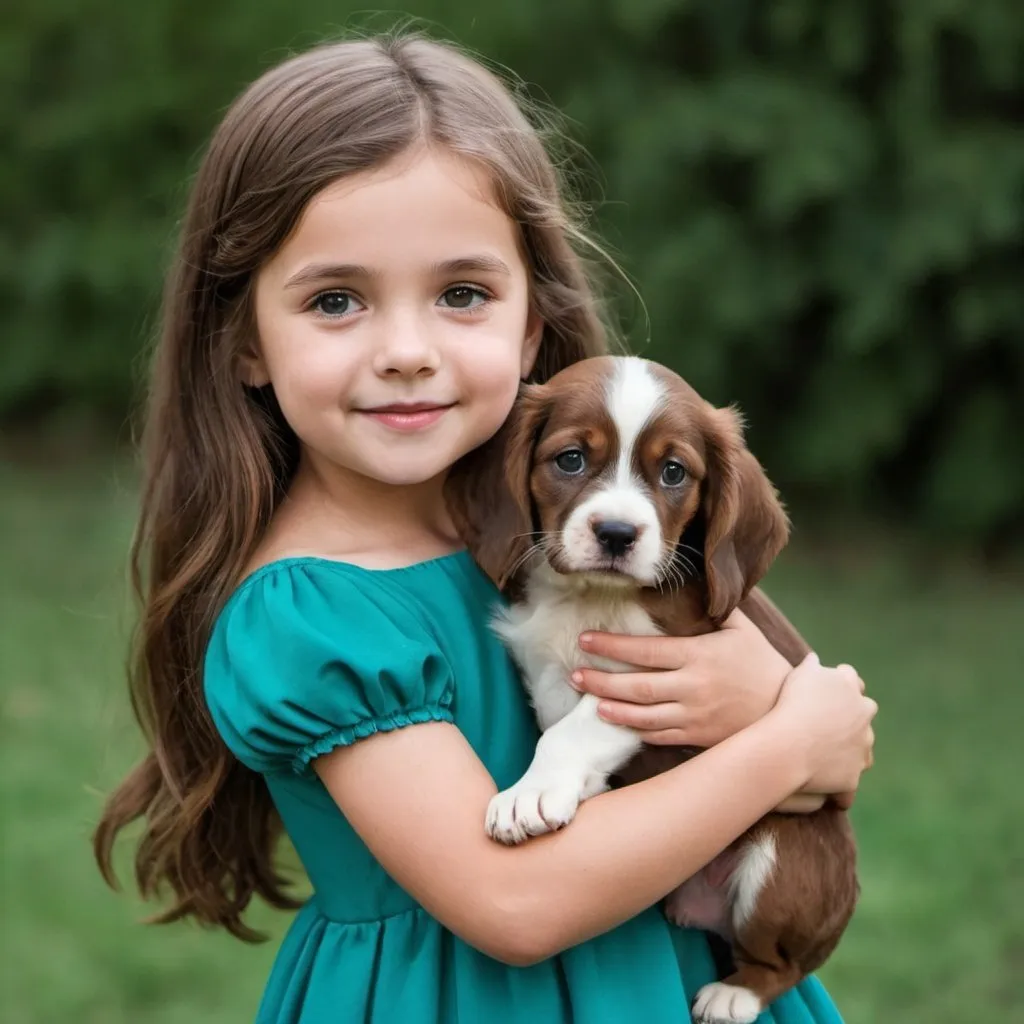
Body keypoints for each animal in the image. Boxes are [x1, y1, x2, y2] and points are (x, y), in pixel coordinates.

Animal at [446, 356, 856, 1019]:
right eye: (570, 460)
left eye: (673, 472)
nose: (616, 533)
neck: (592, 598)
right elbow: (560, 715)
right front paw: (568, 789)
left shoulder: (656, 676)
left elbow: (573, 730)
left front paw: (529, 795)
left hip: (782, 862)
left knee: (783, 965)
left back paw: (733, 995)